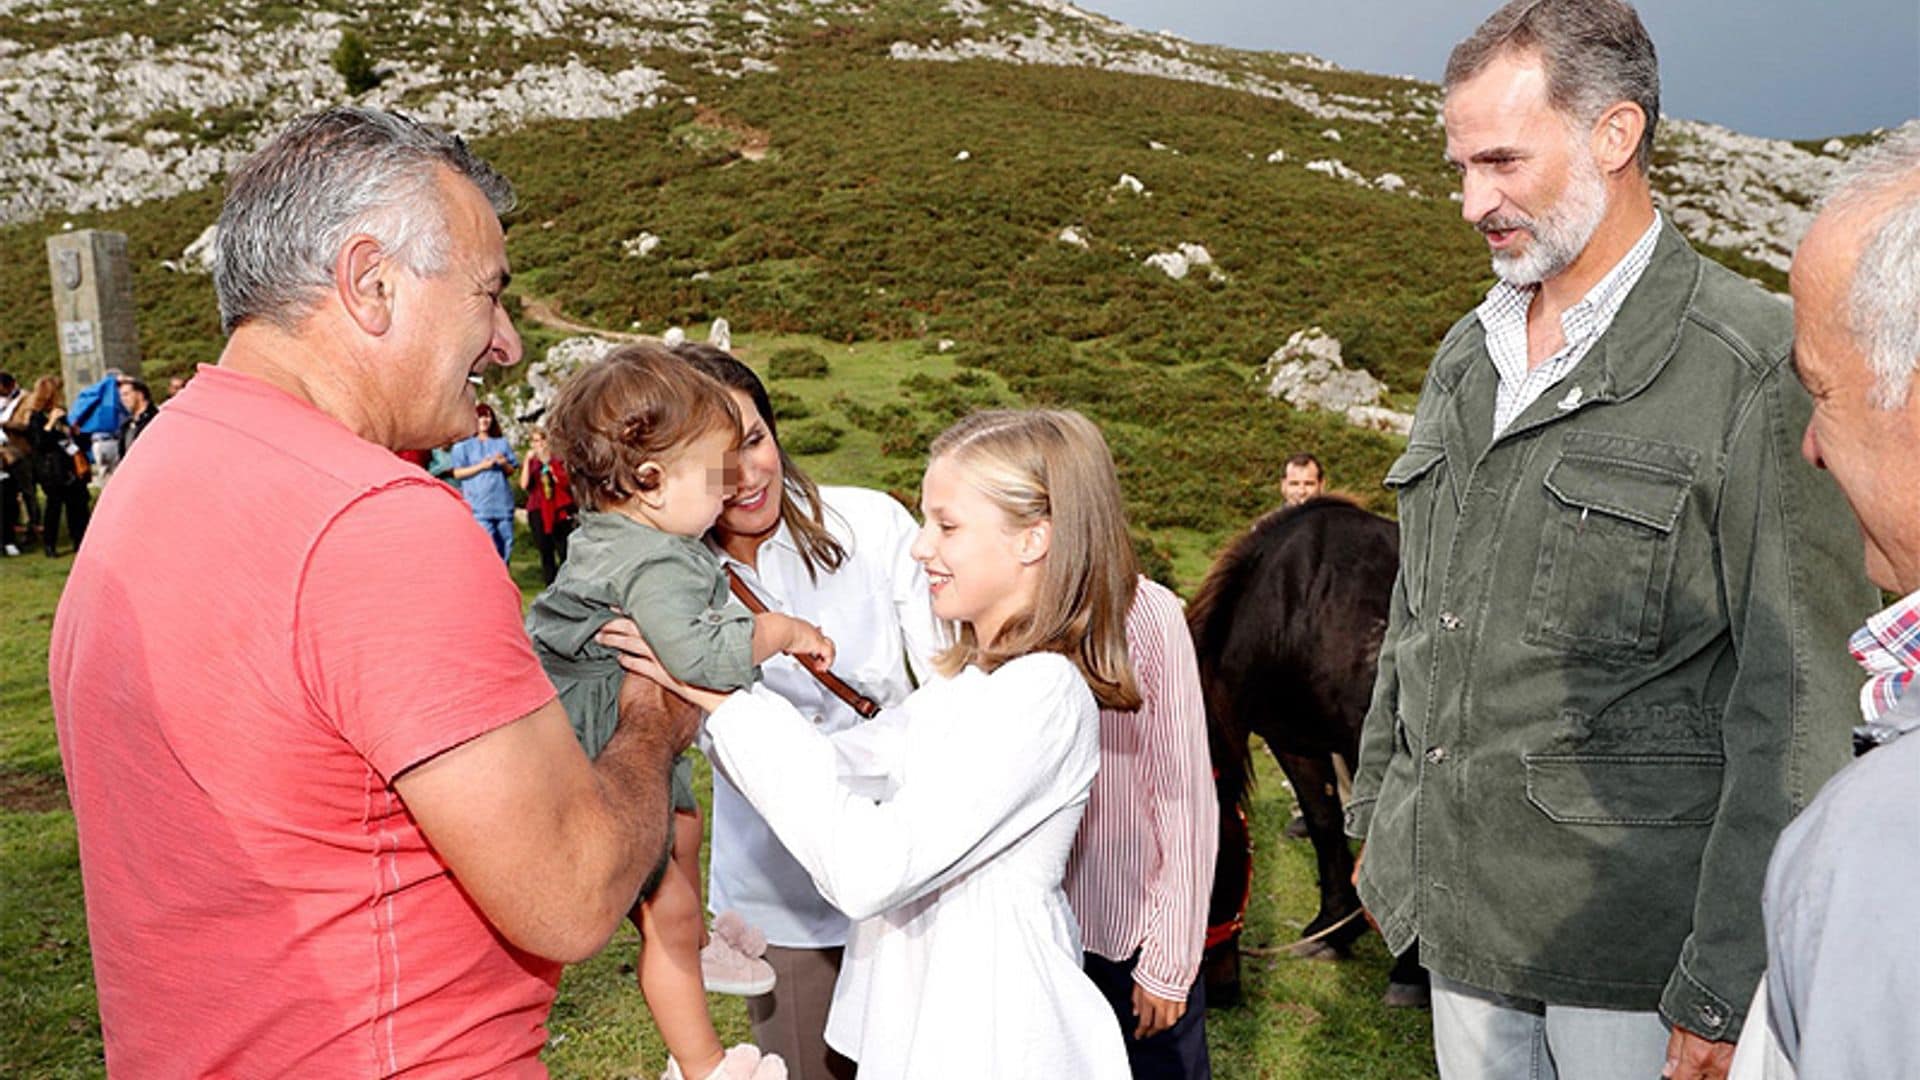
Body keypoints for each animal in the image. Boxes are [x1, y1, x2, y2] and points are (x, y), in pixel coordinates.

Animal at [1182, 495, 1428, 999]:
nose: (1222, 988)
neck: (1303, 608)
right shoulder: (1294, 741)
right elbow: (1324, 822)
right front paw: (1333, 928)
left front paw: (1409, 971)